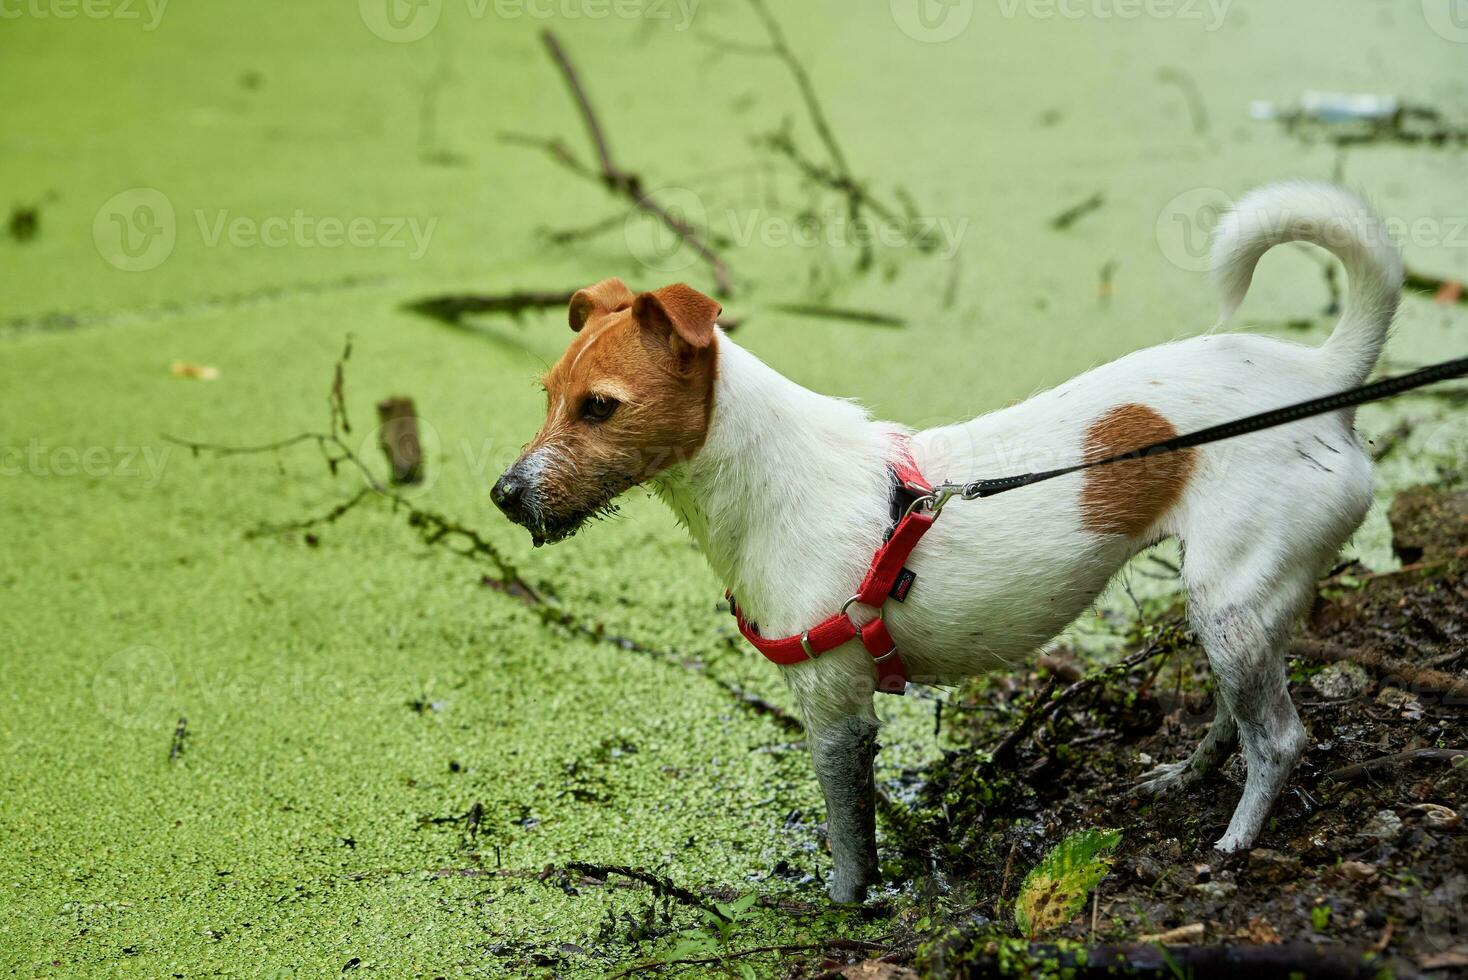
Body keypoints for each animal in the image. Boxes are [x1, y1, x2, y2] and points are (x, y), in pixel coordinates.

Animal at [499, 179, 1403, 897]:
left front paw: (843, 905)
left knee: (1279, 736)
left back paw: (1238, 837)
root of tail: (1320, 379)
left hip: (1230, 599)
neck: (768, 480)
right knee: (1235, 714)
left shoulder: (837, 715)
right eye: (547, 395)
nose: (504, 496)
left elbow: (850, 845)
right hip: (1236, 604)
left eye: (601, 406)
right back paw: (1188, 776)